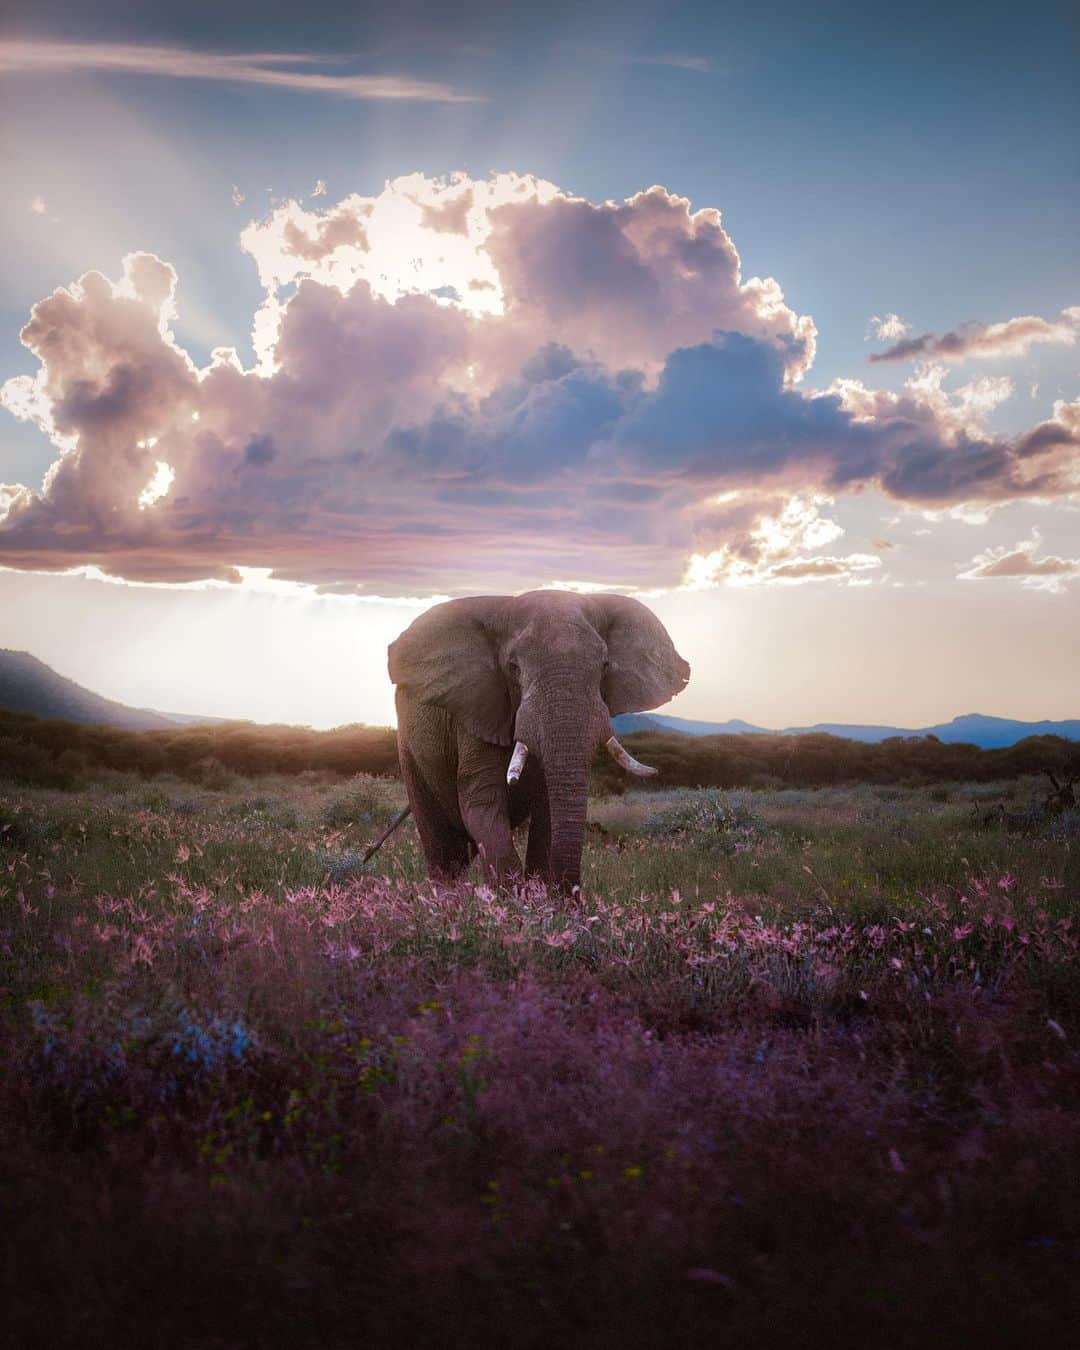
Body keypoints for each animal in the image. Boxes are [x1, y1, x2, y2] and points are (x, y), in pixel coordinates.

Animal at [388, 588, 691, 885]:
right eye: (513, 667)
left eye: (605, 666)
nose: (573, 895)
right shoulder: (475, 713)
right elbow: (483, 804)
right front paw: (514, 897)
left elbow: (547, 814)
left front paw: (542, 894)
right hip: (411, 753)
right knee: (443, 851)